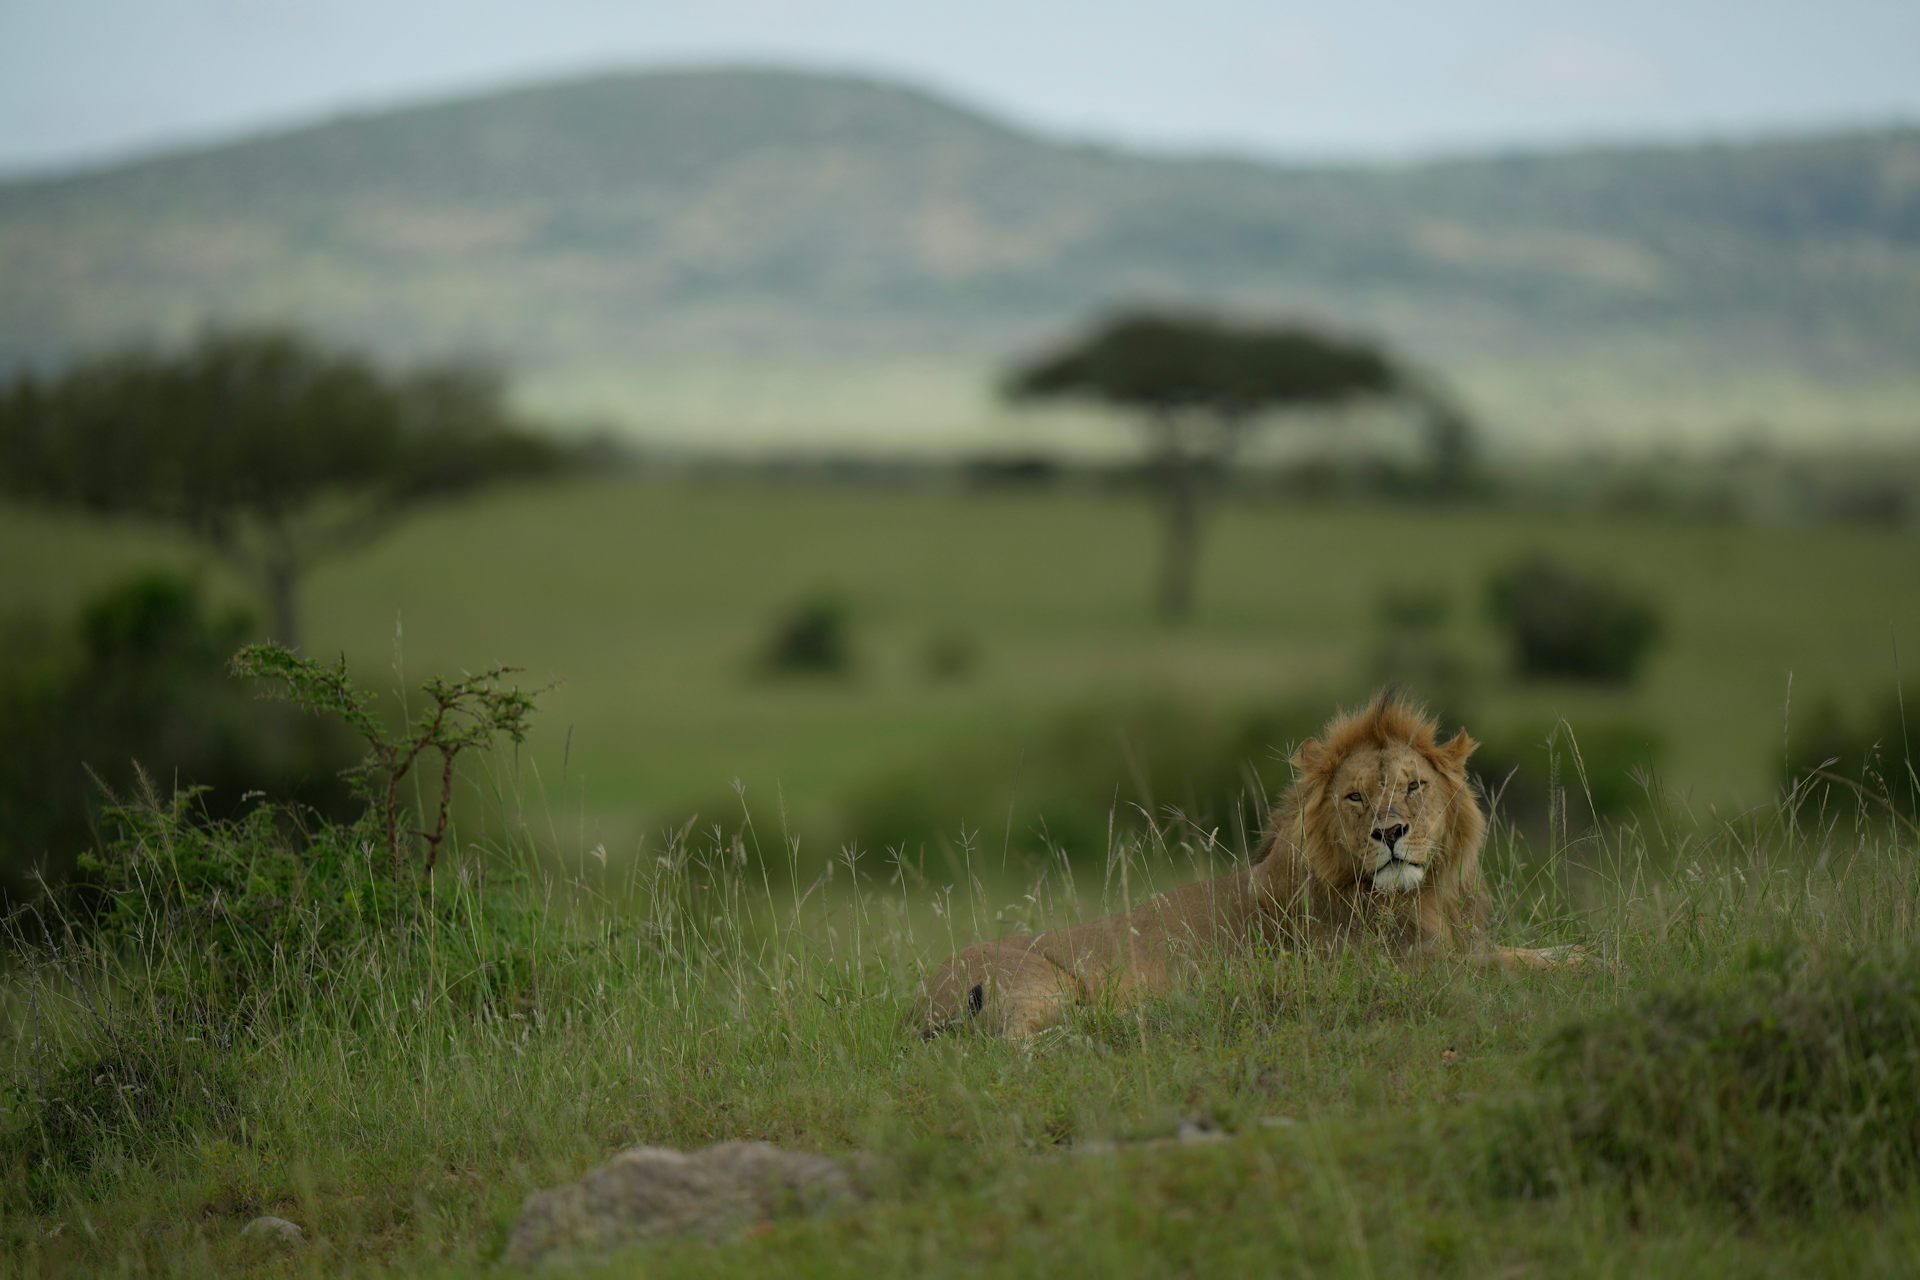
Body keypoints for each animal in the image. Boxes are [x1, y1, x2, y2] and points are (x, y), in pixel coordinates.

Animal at [918, 690, 1578, 1038]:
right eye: (1355, 797)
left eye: (1414, 786)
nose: (1390, 833)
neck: (1423, 896)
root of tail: (916, 1002)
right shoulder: (1401, 970)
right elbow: (1506, 968)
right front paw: (1585, 966)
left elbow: (1528, 951)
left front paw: (1574, 952)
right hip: (1040, 985)